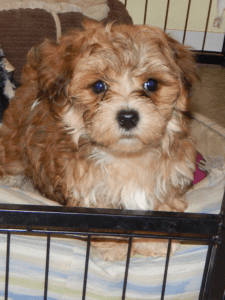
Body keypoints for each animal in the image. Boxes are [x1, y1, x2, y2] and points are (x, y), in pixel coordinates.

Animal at [0, 18, 197, 258]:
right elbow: (105, 221)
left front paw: (155, 243)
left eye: (151, 84)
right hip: (13, 147)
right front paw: (115, 249)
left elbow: (162, 210)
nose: (128, 117)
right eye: (98, 86)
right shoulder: (91, 192)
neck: (127, 156)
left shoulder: (169, 181)